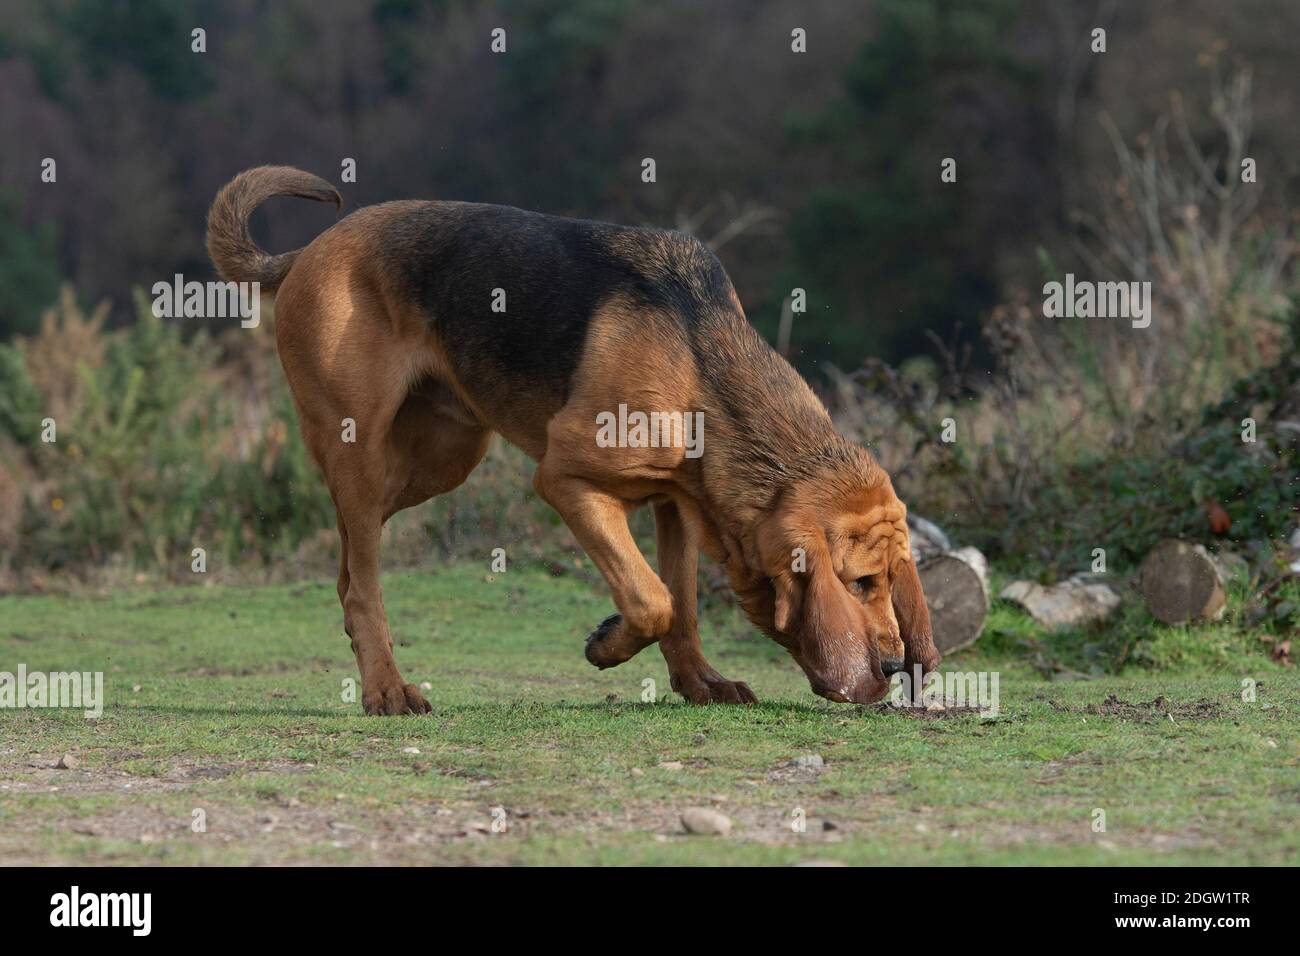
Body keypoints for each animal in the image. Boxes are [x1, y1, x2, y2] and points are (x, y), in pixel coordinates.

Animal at [202, 167, 941, 712]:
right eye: (861, 582)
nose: (894, 666)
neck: (702, 368)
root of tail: (312, 249)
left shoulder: (678, 505)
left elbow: (683, 606)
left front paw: (698, 682)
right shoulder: (566, 482)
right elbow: (652, 600)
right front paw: (608, 645)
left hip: (439, 459)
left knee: (351, 567)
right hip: (359, 448)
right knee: (364, 584)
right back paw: (387, 689)